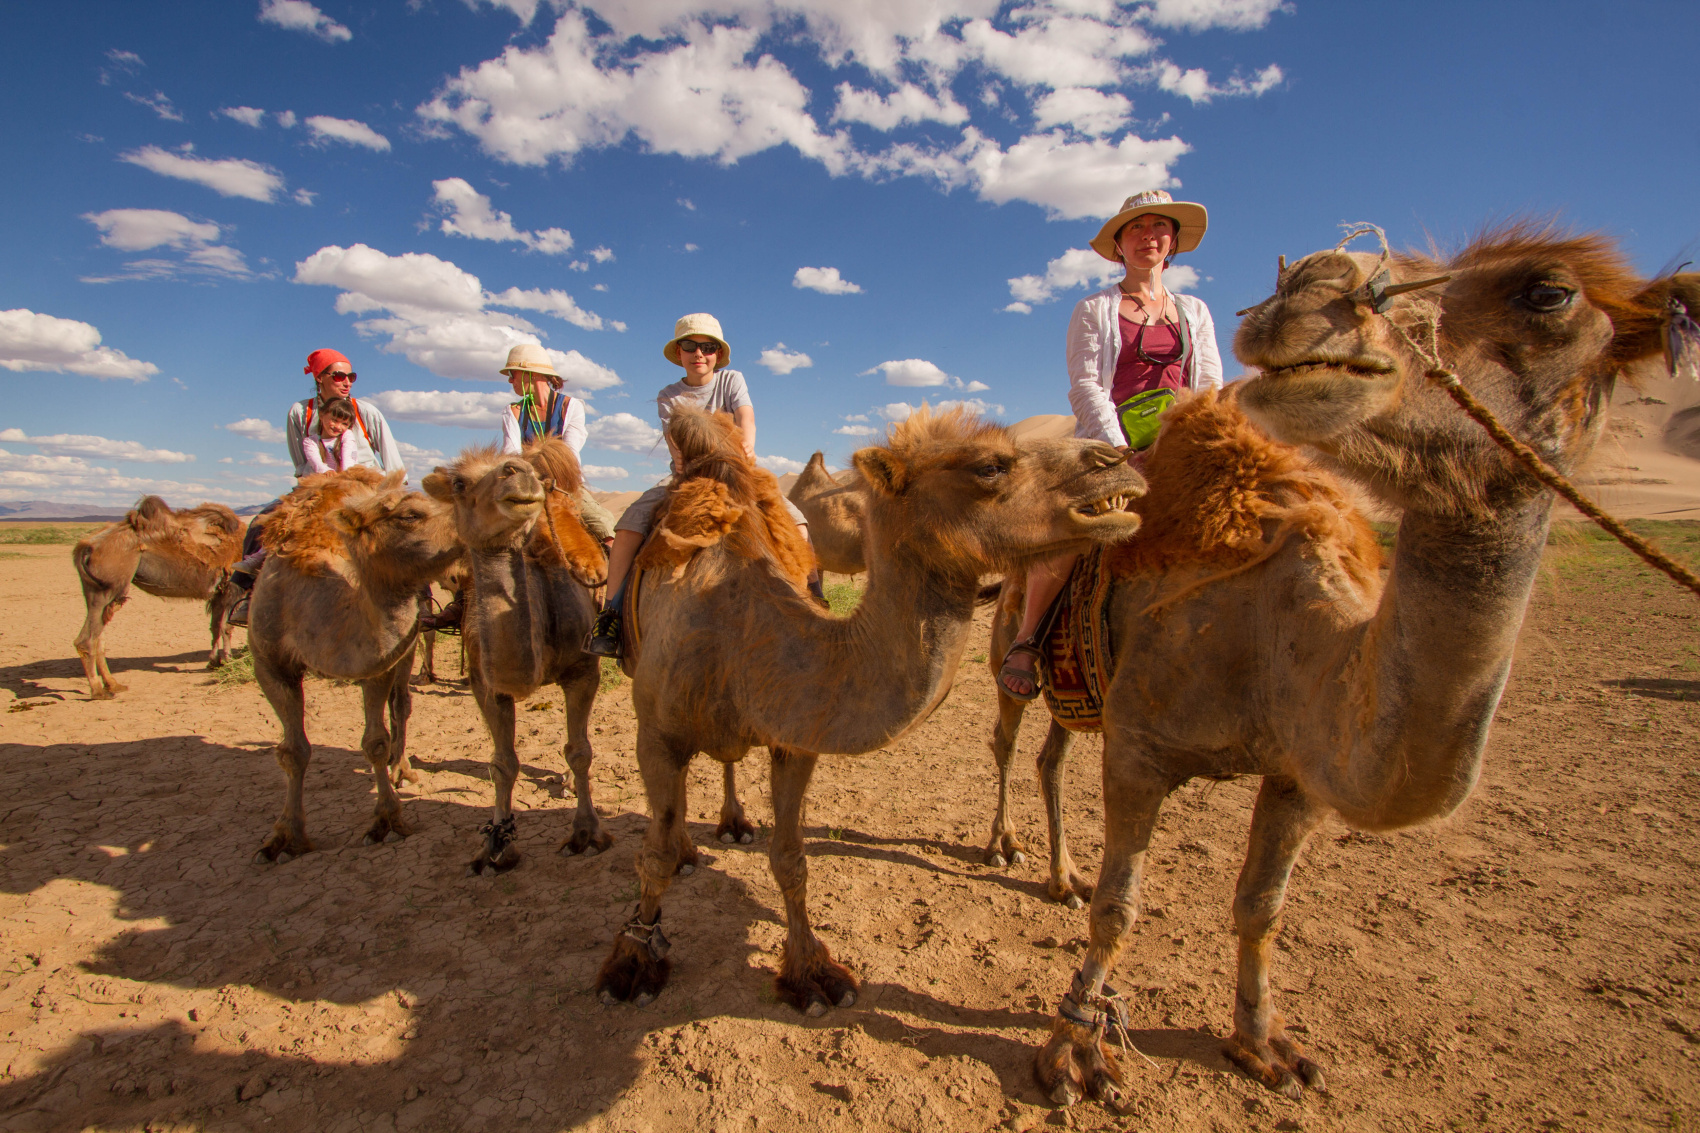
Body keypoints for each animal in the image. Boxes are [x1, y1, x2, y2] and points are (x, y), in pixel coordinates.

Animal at [71, 496, 244, 697]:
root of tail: (87, 545)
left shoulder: (218, 593)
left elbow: (215, 627)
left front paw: (214, 661)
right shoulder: (232, 588)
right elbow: (226, 627)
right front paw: (228, 660)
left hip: (96, 593)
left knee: (99, 638)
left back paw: (113, 684)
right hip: (107, 590)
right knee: (87, 640)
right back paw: (99, 691)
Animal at [244, 462, 459, 860]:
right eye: (409, 515)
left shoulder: (378, 661)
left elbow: (375, 741)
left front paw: (386, 822)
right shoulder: (268, 662)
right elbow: (292, 751)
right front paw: (284, 837)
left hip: (406, 648)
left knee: (401, 704)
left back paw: (401, 767)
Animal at [425, 442, 632, 871]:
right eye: (458, 483)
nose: (517, 474)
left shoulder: (583, 671)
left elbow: (580, 752)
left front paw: (586, 833)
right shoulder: (485, 683)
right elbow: (503, 763)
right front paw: (497, 843)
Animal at [595, 409, 1142, 1007]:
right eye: (990, 466)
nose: (1116, 461)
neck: (739, 631)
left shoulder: (797, 740)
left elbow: (791, 858)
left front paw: (812, 975)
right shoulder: (656, 736)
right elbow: (654, 856)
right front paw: (632, 964)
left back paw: (734, 824)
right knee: (668, 819)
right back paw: (688, 848)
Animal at [986, 224, 1700, 1109]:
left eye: (1548, 294)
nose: (1311, 285)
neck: (1284, 628)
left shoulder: (1297, 772)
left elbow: (1261, 906)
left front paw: (1263, 1043)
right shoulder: (1141, 748)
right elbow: (1122, 908)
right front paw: (1076, 1052)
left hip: (1082, 693)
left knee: (1053, 755)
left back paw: (1062, 874)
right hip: (1018, 638)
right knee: (1009, 736)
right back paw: (1005, 845)